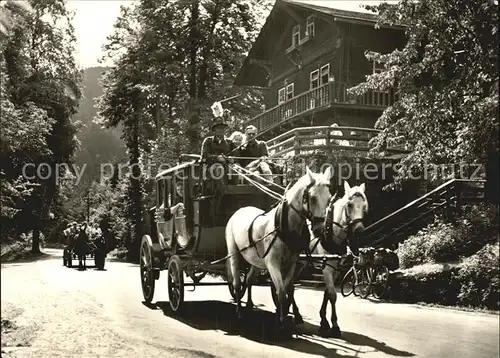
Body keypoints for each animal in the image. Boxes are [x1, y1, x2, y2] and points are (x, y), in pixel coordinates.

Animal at [227, 166, 332, 332]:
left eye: (329, 199)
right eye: (313, 197)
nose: (320, 230)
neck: (284, 227)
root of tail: (240, 210)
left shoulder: (291, 264)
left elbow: (288, 288)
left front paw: (288, 314)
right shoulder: (273, 264)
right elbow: (281, 292)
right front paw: (281, 321)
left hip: (256, 260)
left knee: (249, 280)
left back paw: (249, 304)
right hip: (234, 254)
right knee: (237, 283)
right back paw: (239, 311)